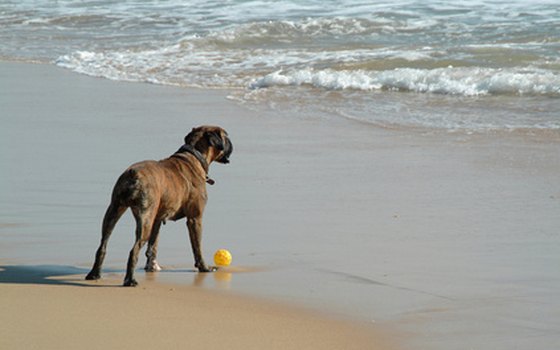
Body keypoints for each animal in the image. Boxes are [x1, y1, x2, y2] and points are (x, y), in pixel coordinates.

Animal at [85, 126, 232, 288]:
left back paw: (94, 274)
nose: (231, 143)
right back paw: (130, 280)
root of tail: (133, 174)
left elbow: (153, 246)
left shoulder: (157, 219)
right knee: (134, 250)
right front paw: (204, 267)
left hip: (114, 211)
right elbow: (197, 247)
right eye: (226, 136)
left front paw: (152, 267)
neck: (194, 156)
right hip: (145, 221)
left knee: (102, 245)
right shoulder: (195, 219)